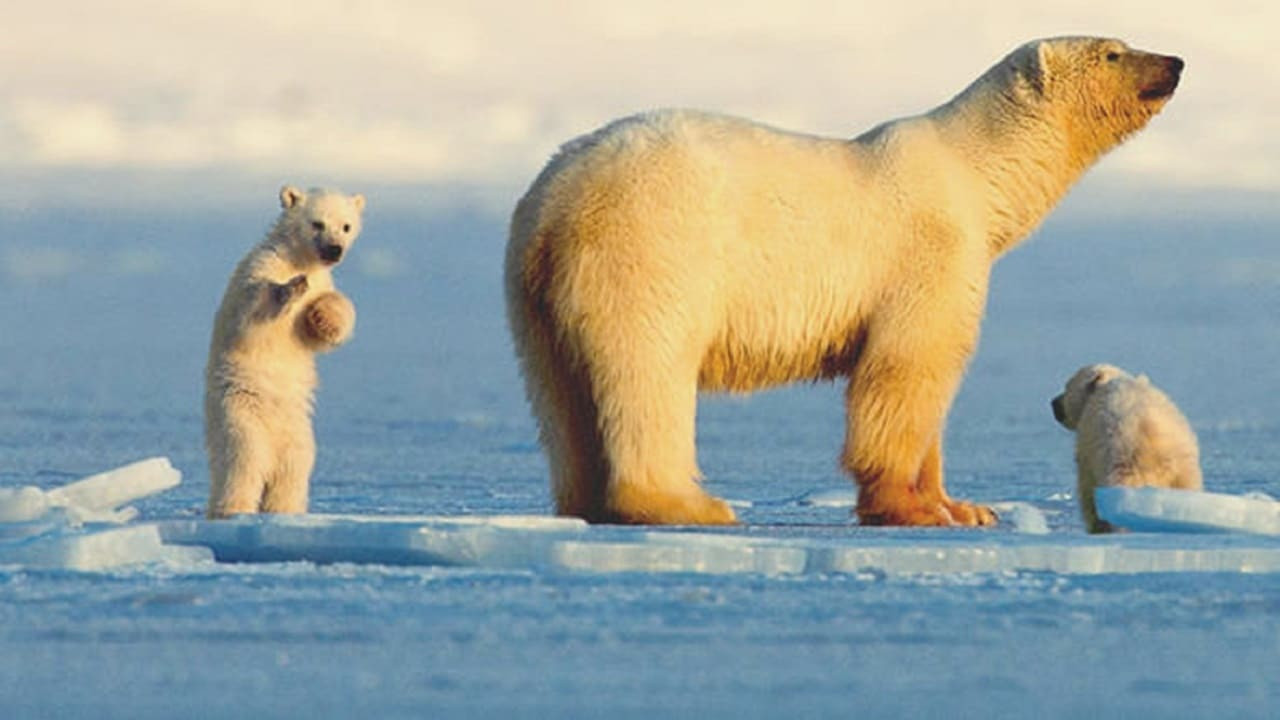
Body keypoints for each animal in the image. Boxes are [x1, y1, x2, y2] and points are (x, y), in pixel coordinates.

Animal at [205, 186, 364, 519]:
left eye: (346, 226)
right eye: (317, 223)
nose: (334, 250)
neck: (298, 259)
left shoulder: (323, 281)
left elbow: (321, 328)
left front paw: (323, 315)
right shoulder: (260, 266)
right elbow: (251, 311)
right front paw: (291, 288)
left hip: (298, 434)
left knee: (292, 473)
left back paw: (285, 511)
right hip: (240, 416)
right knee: (243, 465)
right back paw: (231, 511)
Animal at [505, 36, 1183, 526]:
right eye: (1113, 51)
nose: (1175, 62)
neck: (976, 173)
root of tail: (557, 199)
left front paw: (967, 507)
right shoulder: (929, 253)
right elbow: (906, 371)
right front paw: (913, 509)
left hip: (532, 291)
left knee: (559, 396)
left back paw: (584, 501)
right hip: (652, 251)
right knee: (649, 372)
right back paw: (687, 504)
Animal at [1051, 364, 1202, 533]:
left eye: (1066, 386)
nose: (1053, 403)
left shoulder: (1088, 449)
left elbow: (1088, 493)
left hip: (1123, 462)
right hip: (1182, 470)